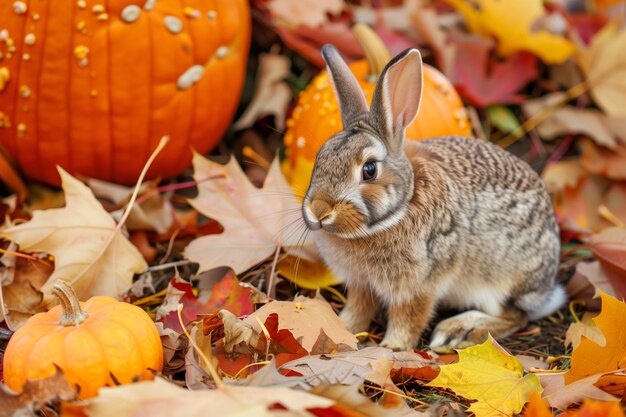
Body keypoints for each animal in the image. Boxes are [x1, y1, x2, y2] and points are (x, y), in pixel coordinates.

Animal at [300, 44, 564, 352]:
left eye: (369, 170)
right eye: (320, 158)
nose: (319, 210)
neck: (397, 211)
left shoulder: (419, 285)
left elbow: (409, 319)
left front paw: (391, 348)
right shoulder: (361, 284)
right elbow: (358, 309)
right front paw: (341, 331)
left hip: (500, 281)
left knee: (516, 316)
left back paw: (458, 332)